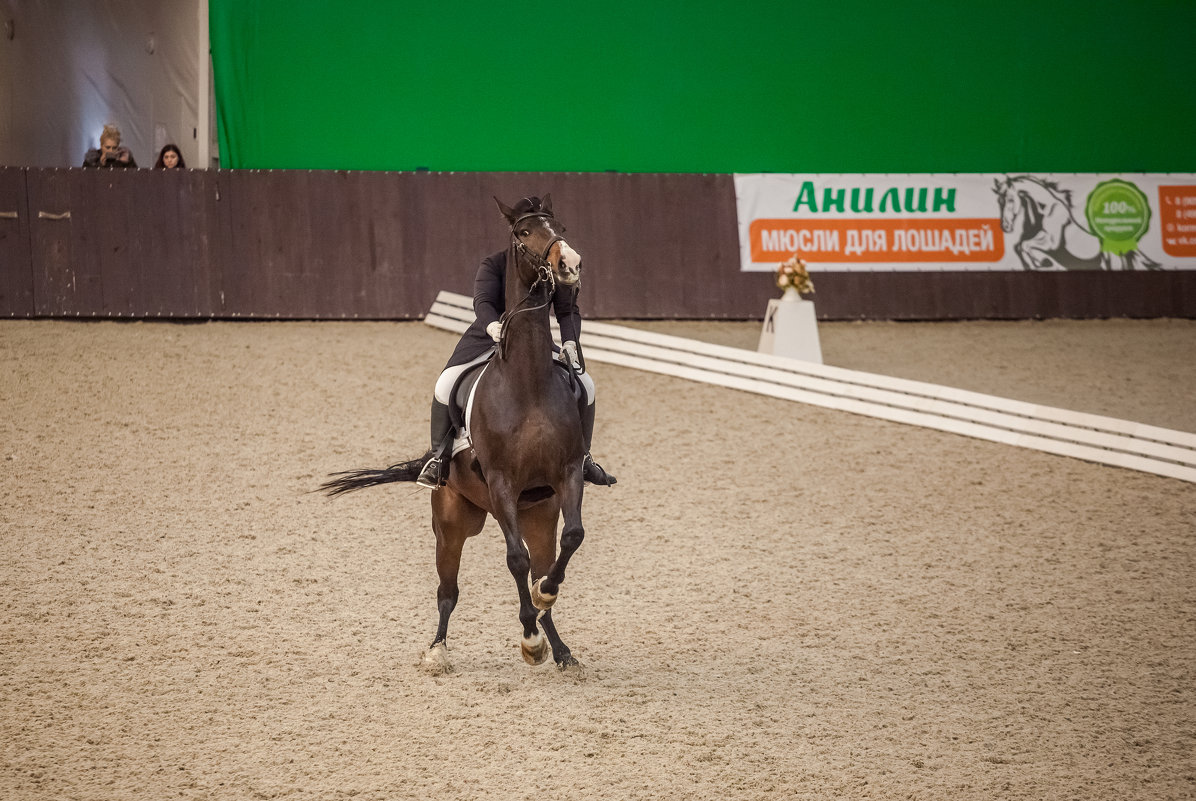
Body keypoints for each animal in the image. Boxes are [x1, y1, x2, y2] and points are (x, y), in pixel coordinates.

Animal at [322, 197, 588, 674]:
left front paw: (543, 604)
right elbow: (514, 560)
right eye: (524, 234)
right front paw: (528, 639)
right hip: (450, 523)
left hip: (539, 515)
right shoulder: (501, 483)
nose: (569, 263)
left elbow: (568, 542)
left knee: (541, 565)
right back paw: (438, 650)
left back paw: (558, 648)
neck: (529, 385)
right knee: (448, 591)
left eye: (559, 226)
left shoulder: (569, 472)